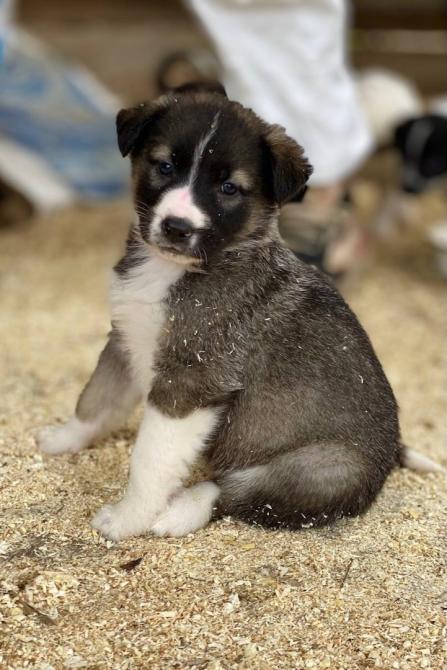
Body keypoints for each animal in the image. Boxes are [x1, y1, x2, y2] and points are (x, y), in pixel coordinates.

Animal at [38, 84, 442, 540]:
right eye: (164, 166)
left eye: (229, 188)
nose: (177, 227)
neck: (174, 270)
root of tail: (390, 454)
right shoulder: (126, 339)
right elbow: (95, 399)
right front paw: (64, 439)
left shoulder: (191, 383)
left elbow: (150, 460)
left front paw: (128, 519)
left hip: (320, 468)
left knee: (236, 492)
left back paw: (179, 512)